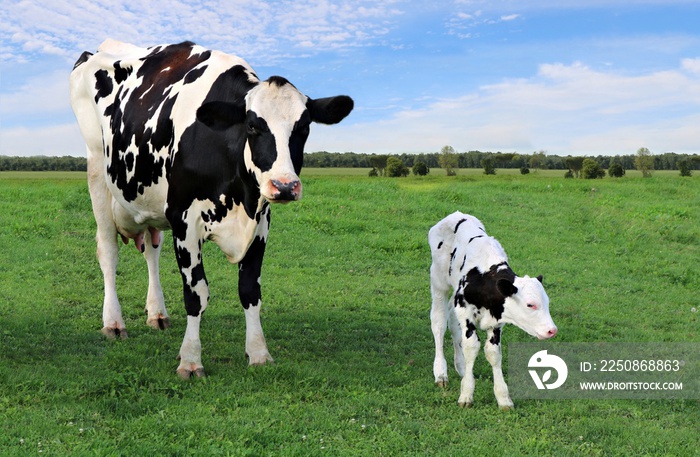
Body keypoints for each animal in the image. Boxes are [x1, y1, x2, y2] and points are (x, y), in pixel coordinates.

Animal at [70, 40, 352, 378]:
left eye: (304, 127)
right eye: (252, 126)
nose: (284, 186)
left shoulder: (260, 223)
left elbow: (250, 290)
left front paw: (259, 353)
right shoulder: (184, 221)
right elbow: (196, 294)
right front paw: (190, 360)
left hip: (151, 205)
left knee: (151, 251)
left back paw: (157, 314)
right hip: (98, 171)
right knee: (108, 252)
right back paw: (113, 322)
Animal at [426, 212, 556, 408]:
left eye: (547, 302)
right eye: (530, 304)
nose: (552, 330)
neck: (485, 277)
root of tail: (456, 215)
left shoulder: (496, 321)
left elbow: (493, 353)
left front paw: (503, 398)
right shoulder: (466, 311)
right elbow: (471, 347)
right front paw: (466, 395)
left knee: (453, 323)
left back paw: (461, 367)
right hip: (438, 282)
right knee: (439, 323)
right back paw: (441, 373)